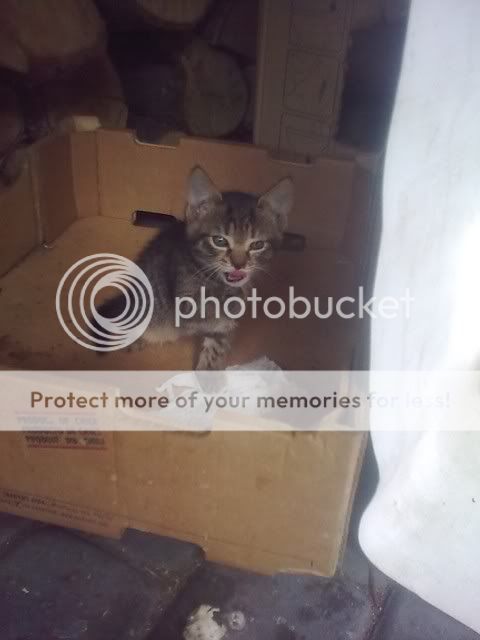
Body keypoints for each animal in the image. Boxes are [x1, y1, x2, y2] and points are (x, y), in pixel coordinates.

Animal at [94, 166, 294, 370]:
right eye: (219, 240)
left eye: (257, 245)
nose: (239, 265)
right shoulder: (185, 303)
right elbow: (208, 312)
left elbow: (216, 347)